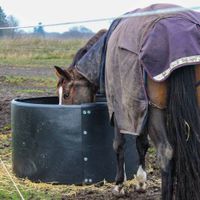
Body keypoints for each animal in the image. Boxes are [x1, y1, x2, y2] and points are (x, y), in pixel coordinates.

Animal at [54, 3, 200, 200]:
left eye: (67, 94)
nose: (63, 111)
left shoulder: (121, 108)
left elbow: (119, 144)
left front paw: (120, 185)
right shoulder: (138, 111)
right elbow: (142, 144)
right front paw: (141, 181)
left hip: (155, 112)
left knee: (166, 152)